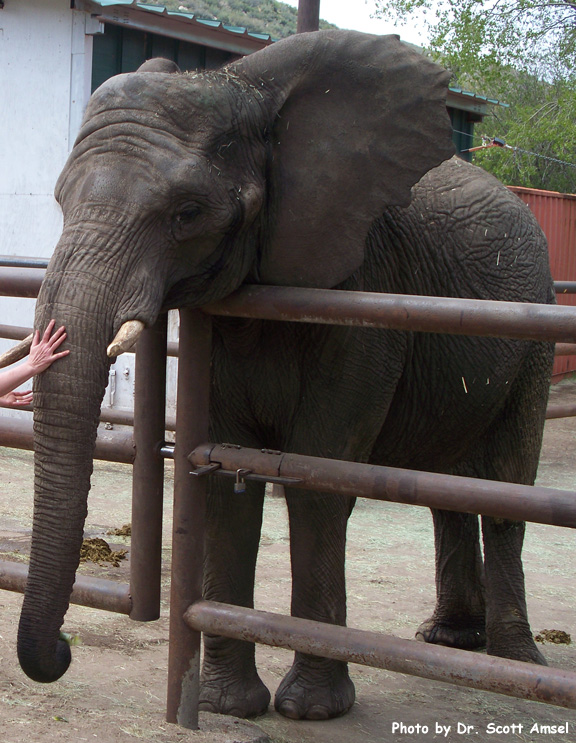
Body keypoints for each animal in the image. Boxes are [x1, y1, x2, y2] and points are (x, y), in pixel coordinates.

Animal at [12, 29, 554, 721]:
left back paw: (516, 664)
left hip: (535, 326)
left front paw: (313, 709)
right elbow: (223, 480)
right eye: (59, 200)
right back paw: (450, 640)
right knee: (445, 483)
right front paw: (225, 704)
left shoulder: (363, 283)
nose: (61, 650)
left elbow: (319, 469)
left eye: (187, 212)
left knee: (507, 481)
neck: (243, 85)